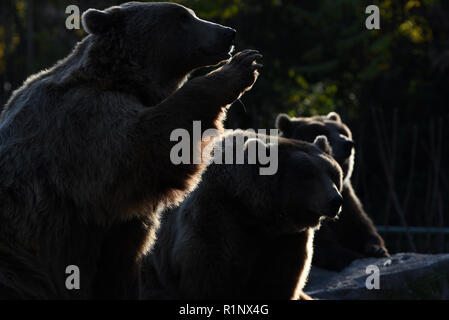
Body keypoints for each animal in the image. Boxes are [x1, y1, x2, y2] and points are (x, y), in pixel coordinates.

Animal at [0, 1, 262, 298]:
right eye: (182, 17)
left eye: (191, 13)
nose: (228, 33)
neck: (123, 80)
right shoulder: (82, 127)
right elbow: (142, 143)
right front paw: (241, 66)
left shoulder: (117, 229)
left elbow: (120, 262)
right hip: (20, 255)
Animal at [142, 130, 342, 300]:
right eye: (308, 175)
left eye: (333, 174)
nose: (336, 200)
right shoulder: (216, 219)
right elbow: (210, 278)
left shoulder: (286, 239)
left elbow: (278, 281)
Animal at [274, 111, 386, 272]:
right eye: (323, 132)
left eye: (342, 131)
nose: (348, 143)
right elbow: (325, 247)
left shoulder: (347, 200)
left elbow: (362, 227)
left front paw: (377, 249)